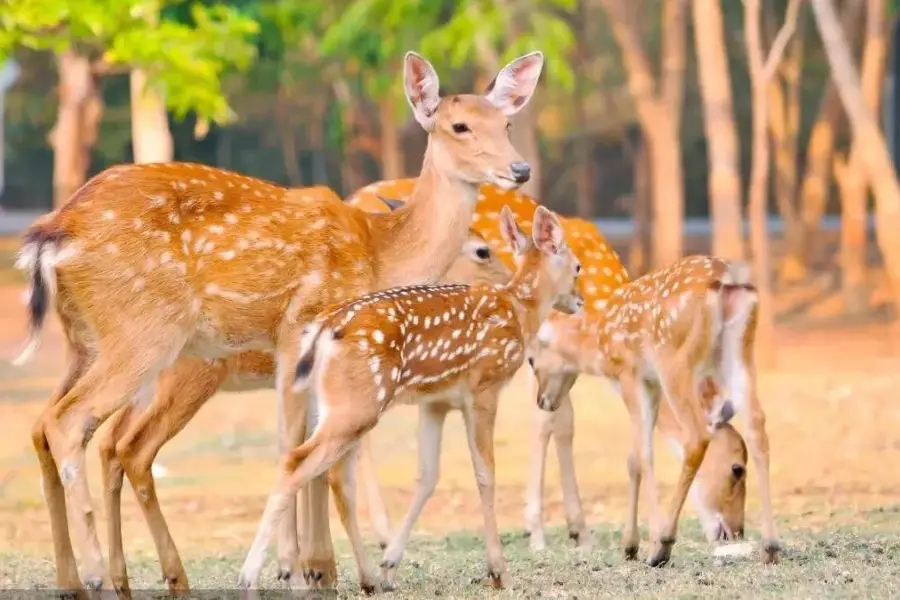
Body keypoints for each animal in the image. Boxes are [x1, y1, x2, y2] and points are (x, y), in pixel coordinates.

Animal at [17, 49, 544, 592]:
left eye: (506, 123)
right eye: (459, 125)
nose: (520, 168)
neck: (379, 253)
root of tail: (52, 234)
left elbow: (307, 447)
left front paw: (315, 568)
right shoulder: (301, 327)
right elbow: (302, 448)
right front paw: (309, 570)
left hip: (85, 341)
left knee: (49, 427)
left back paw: (85, 579)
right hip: (146, 334)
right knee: (76, 425)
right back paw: (101, 576)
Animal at [236, 205, 580, 592]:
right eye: (577, 267)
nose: (579, 301)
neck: (519, 312)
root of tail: (322, 332)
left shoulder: (436, 402)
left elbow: (427, 476)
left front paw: (390, 567)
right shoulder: (484, 388)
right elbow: (485, 473)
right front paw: (498, 571)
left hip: (335, 405)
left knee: (332, 476)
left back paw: (367, 578)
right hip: (357, 405)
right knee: (299, 463)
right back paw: (252, 577)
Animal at [532, 256, 776, 568]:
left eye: (531, 361)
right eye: (737, 469)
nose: (542, 400)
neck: (598, 342)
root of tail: (729, 277)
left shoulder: (629, 375)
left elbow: (643, 455)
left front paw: (644, 543)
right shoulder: (651, 384)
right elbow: (634, 458)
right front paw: (629, 546)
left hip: (675, 359)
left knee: (697, 435)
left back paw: (663, 546)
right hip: (739, 351)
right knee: (757, 425)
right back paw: (770, 547)